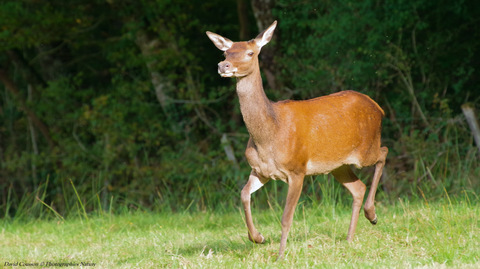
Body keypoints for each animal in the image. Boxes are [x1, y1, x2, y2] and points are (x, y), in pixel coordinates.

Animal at [205, 19, 386, 258]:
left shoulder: (297, 169)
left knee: (383, 153)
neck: (268, 136)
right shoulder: (260, 170)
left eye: (250, 52)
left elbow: (286, 217)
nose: (223, 66)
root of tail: (378, 106)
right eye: (226, 52)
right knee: (358, 188)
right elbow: (243, 194)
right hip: (338, 165)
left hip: (366, 149)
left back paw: (372, 214)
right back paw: (350, 237)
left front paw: (280, 255)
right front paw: (258, 237)